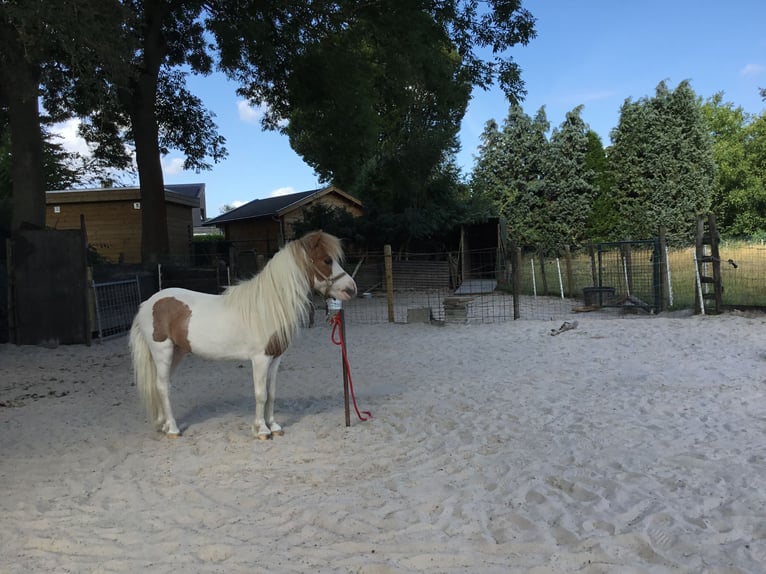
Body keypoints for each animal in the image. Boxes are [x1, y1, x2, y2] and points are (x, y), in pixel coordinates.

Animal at [129, 230, 357, 439]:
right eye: (327, 260)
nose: (351, 289)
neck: (267, 307)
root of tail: (147, 303)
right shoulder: (260, 359)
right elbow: (261, 394)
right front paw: (262, 430)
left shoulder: (276, 359)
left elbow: (271, 393)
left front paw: (274, 426)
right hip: (162, 352)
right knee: (162, 387)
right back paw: (174, 430)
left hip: (177, 352)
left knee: (162, 385)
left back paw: (165, 425)